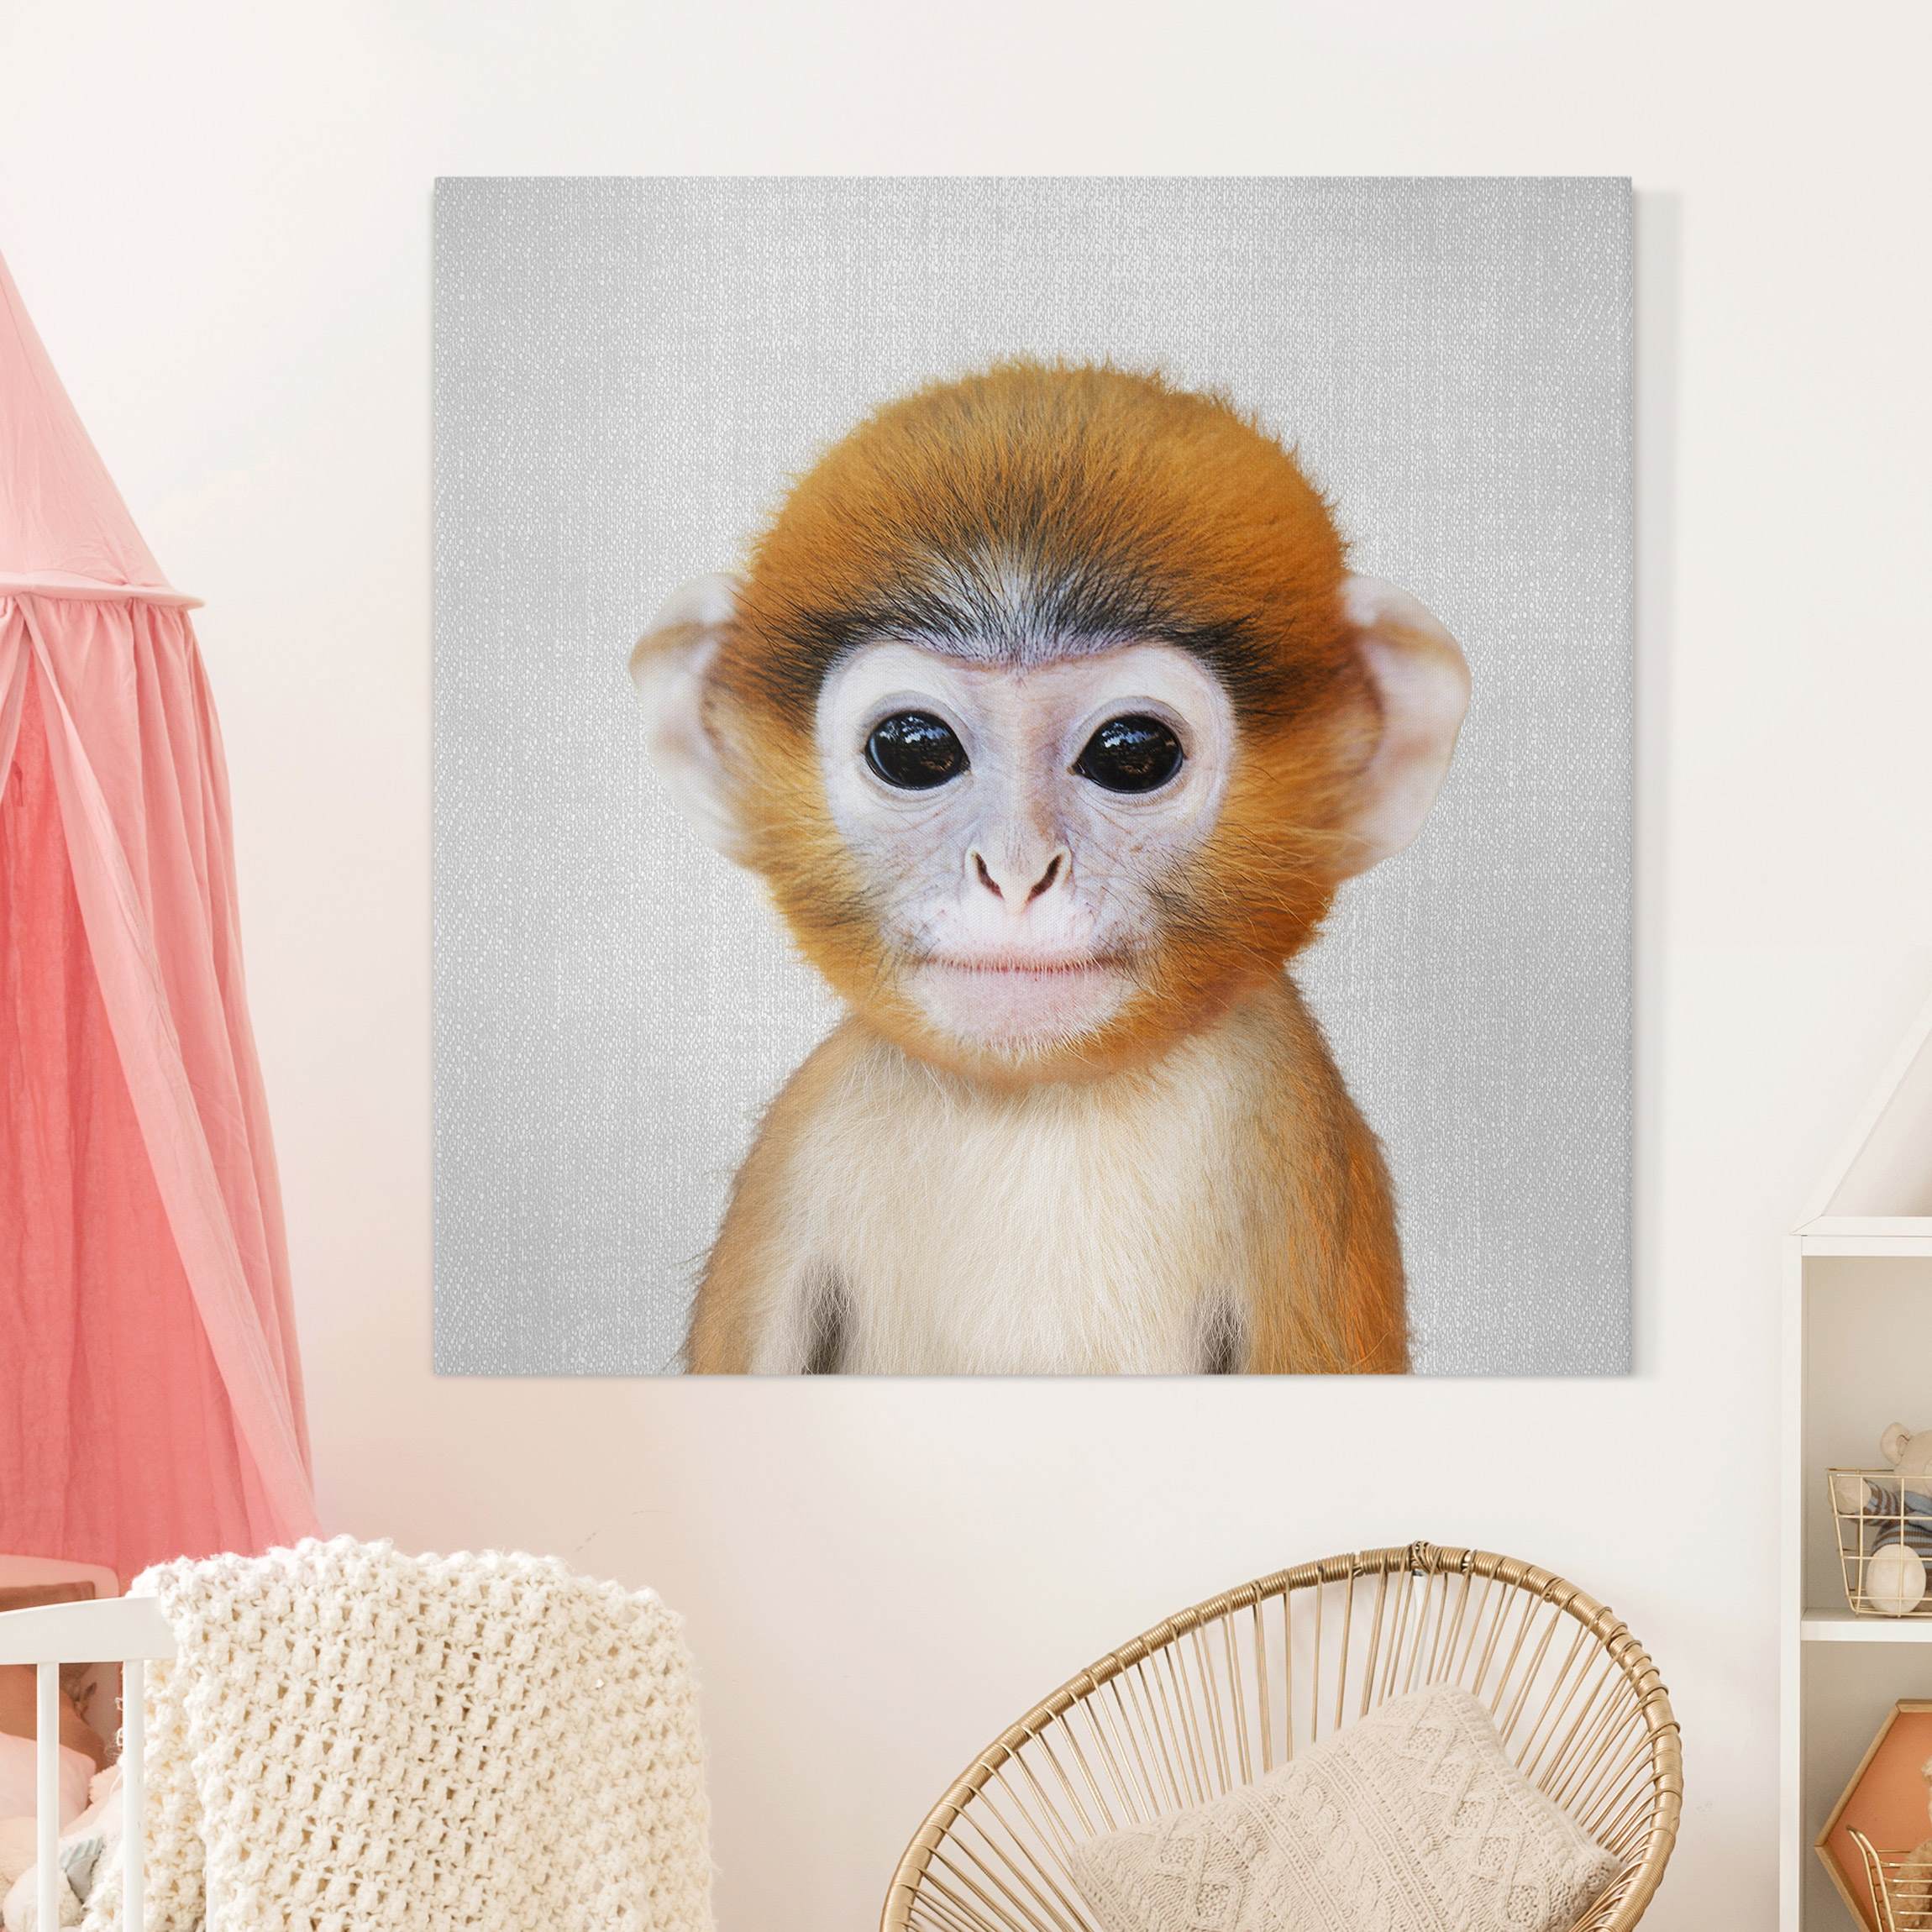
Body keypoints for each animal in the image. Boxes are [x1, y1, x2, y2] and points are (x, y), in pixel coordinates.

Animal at [629, 360, 1469, 1375]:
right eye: (913, 748)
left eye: (1133, 753)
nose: (1017, 873)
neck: (1039, 1106)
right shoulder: (796, 1154)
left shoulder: (1291, 1148)